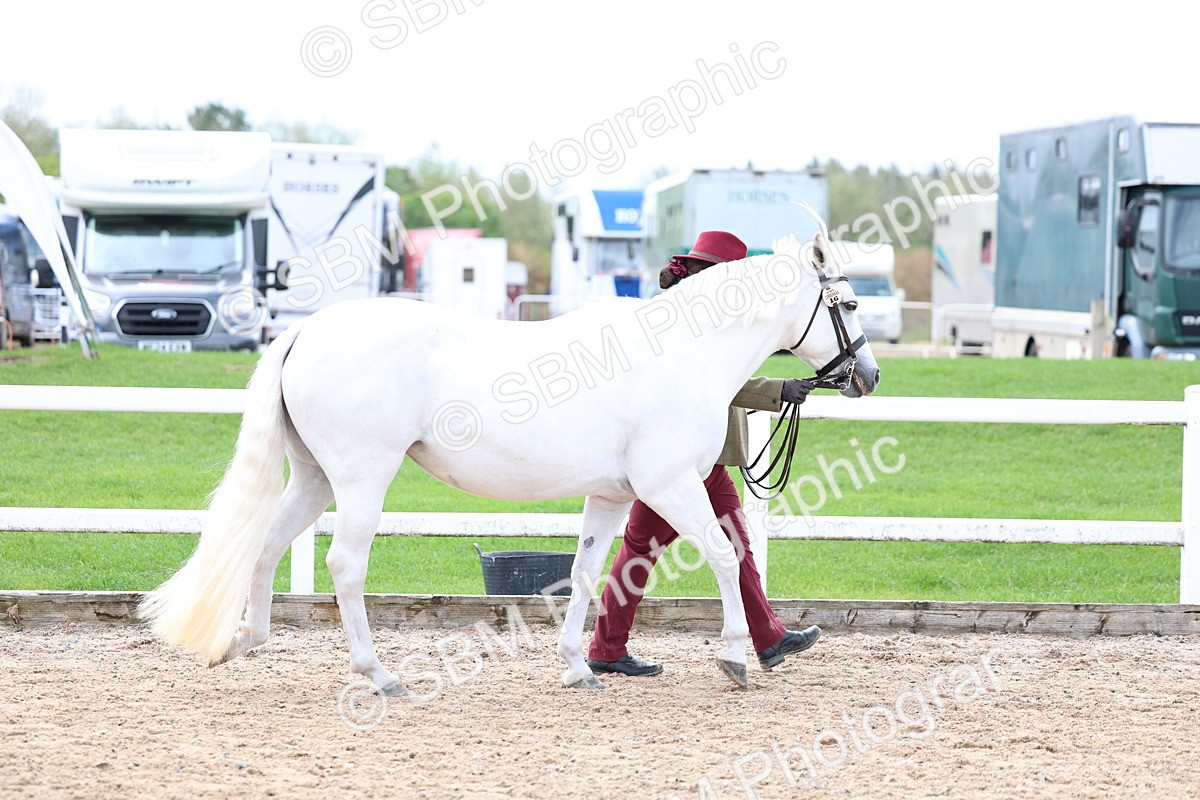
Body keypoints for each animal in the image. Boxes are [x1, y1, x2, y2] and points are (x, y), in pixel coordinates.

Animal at [140, 227, 880, 694]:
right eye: (846, 302)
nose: (868, 375)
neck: (683, 351)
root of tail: (305, 330)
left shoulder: (613, 495)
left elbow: (585, 575)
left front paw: (578, 668)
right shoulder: (670, 485)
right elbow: (727, 557)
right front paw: (735, 658)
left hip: (315, 478)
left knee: (265, 546)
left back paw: (243, 641)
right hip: (361, 478)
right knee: (345, 566)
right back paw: (378, 675)